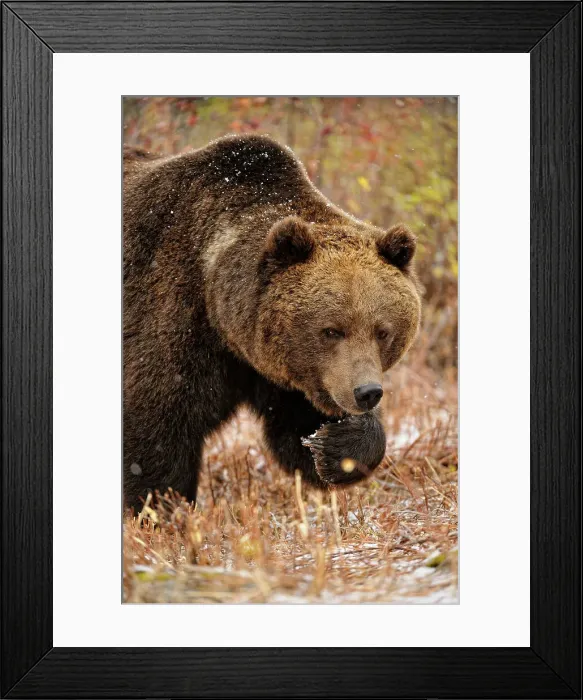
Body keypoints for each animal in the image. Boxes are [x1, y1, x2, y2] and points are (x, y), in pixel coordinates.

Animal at [123, 134, 421, 510]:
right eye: (331, 330)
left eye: (382, 331)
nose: (367, 392)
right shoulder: (176, 319)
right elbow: (156, 427)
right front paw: (163, 507)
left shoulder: (286, 374)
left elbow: (297, 433)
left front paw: (335, 443)